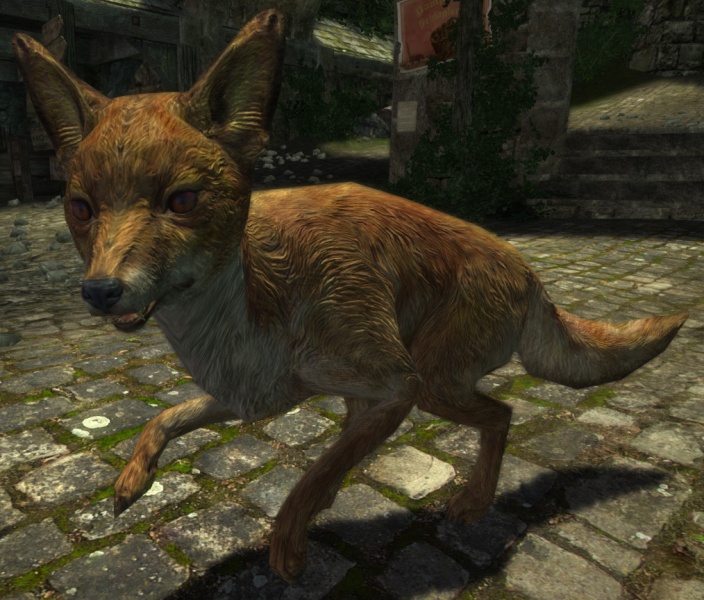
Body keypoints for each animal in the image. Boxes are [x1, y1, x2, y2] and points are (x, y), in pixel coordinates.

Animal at [13, 10, 687, 583]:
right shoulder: (250, 395)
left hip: (436, 383)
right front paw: (133, 480)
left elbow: (311, 477)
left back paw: (473, 501)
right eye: (81, 209)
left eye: (181, 201)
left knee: (502, 414)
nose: (100, 290)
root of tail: (525, 265)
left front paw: (288, 546)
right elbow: (164, 418)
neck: (253, 311)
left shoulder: (394, 387)